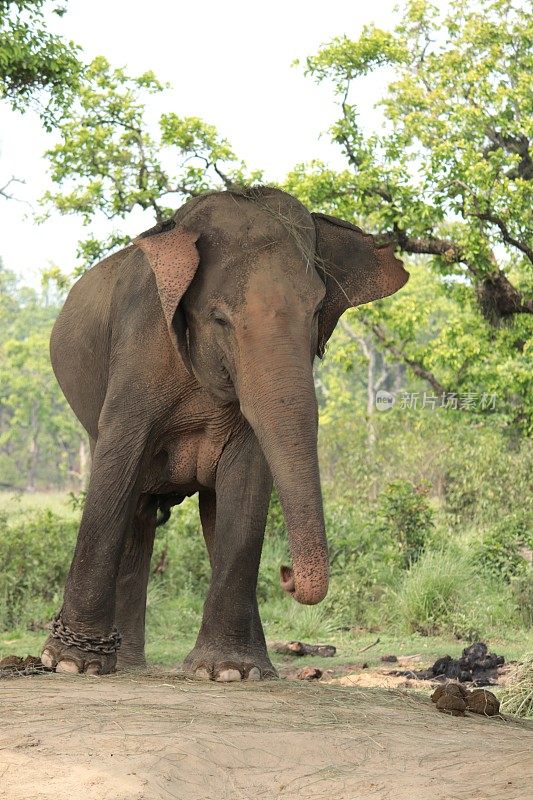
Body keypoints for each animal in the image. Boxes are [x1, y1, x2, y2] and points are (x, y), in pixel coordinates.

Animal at [41, 189, 408, 680]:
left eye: (316, 312)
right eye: (219, 319)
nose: (286, 572)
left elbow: (247, 478)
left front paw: (228, 671)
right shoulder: (138, 348)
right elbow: (118, 459)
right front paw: (68, 663)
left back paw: (240, 666)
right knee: (137, 505)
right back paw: (126, 664)